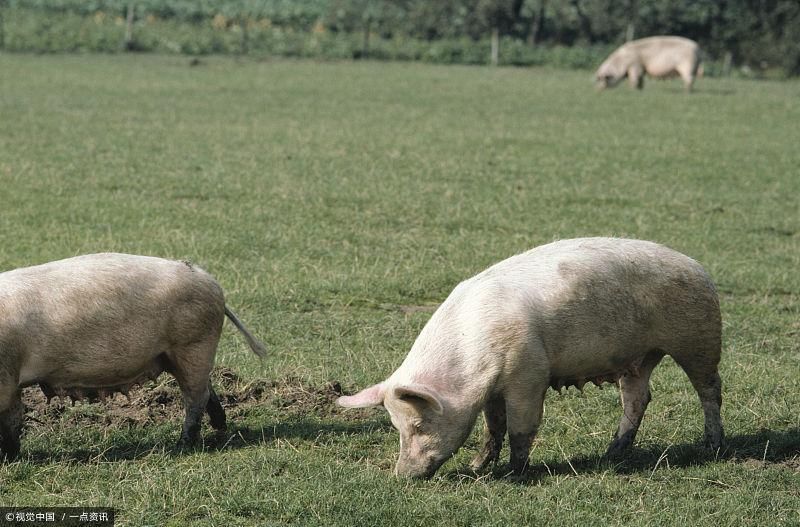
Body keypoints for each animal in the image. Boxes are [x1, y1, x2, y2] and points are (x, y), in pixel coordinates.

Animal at [0, 254, 268, 460]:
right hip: (181, 353)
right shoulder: (11, 380)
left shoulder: (6, 377)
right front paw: (11, 457)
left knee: (195, 397)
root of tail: (209, 280)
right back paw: (219, 429)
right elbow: (13, 418)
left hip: (193, 344)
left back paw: (182, 444)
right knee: (206, 388)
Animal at [338, 238, 724, 478]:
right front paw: (478, 467)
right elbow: (494, 426)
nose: (403, 476)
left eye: (419, 425)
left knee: (710, 390)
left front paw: (514, 474)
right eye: (395, 426)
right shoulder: (491, 388)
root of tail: (698, 266)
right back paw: (612, 453)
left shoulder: (528, 374)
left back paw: (713, 446)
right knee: (638, 397)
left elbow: (521, 427)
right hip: (638, 358)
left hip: (699, 337)